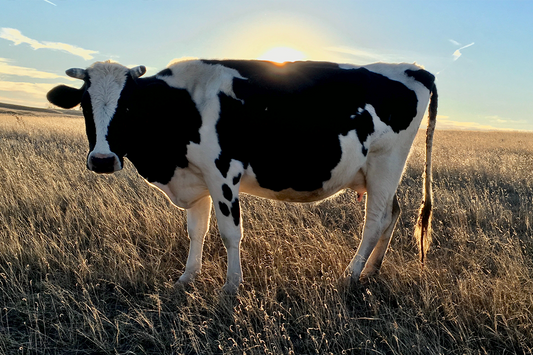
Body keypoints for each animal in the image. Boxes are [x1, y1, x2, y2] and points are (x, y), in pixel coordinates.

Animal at [46, 59, 436, 294]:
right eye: (84, 105)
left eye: (128, 105)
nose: (102, 160)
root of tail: (414, 69)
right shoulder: (197, 178)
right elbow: (196, 230)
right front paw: (187, 277)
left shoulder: (222, 173)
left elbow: (230, 233)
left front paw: (231, 286)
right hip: (380, 172)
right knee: (393, 214)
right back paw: (371, 271)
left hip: (386, 162)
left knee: (375, 221)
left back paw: (351, 274)